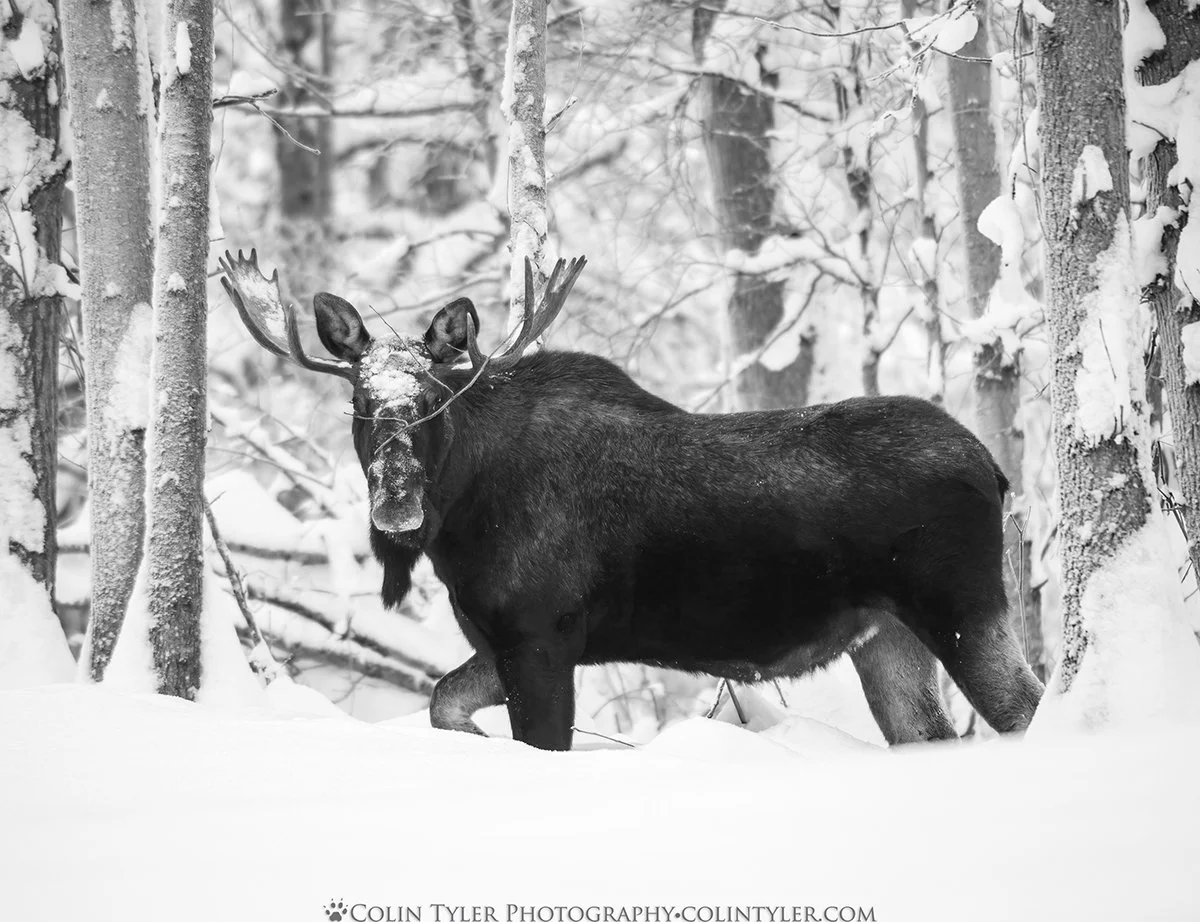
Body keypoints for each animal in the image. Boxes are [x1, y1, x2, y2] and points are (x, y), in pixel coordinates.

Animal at [220, 249, 1043, 751]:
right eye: (360, 404)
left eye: (429, 401)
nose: (396, 503)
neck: (460, 518)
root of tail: (996, 470)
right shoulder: (500, 641)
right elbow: (442, 702)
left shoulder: (542, 637)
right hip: (886, 636)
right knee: (934, 735)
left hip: (964, 609)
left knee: (1029, 709)